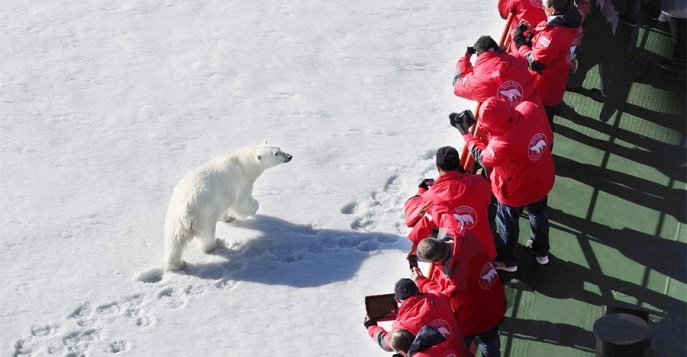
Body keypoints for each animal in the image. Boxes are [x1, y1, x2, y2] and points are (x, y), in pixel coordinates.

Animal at [164, 142, 292, 270]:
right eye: (276, 153)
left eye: (279, 148)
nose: (289, 156)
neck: (243, 163)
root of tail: (186, 213)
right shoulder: (241, 182)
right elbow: (241, 204)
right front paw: (255, 206)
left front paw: (229, 217)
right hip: (203, 216)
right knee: (206, 235)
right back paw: (215, 244)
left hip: (175, 221)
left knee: (175, 241)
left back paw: (178, 264)